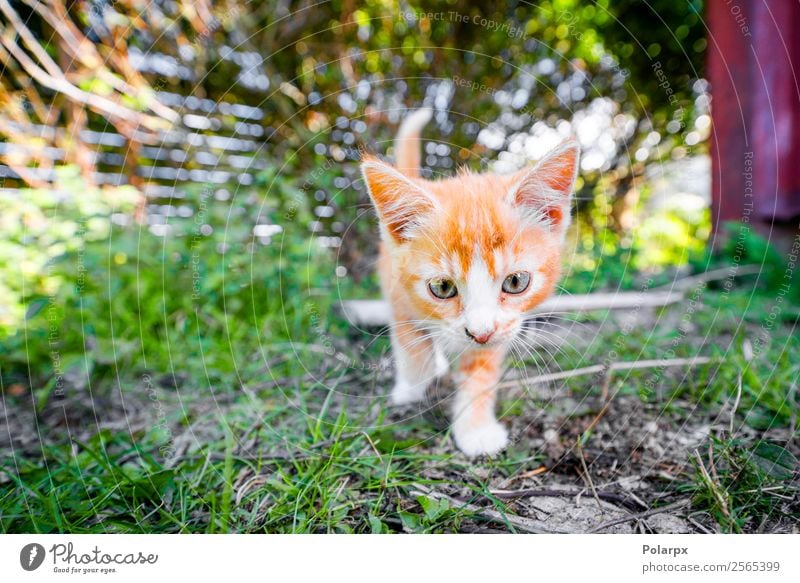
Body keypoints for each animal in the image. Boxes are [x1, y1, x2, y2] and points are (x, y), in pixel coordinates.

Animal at [360, 108, 580, 456]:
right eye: (442, 288)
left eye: (516, 282)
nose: (479, 333)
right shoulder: (400, 300)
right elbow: (413, 349)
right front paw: (411, 389)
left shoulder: (500, 329)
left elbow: (480, 372)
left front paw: (475, 430)